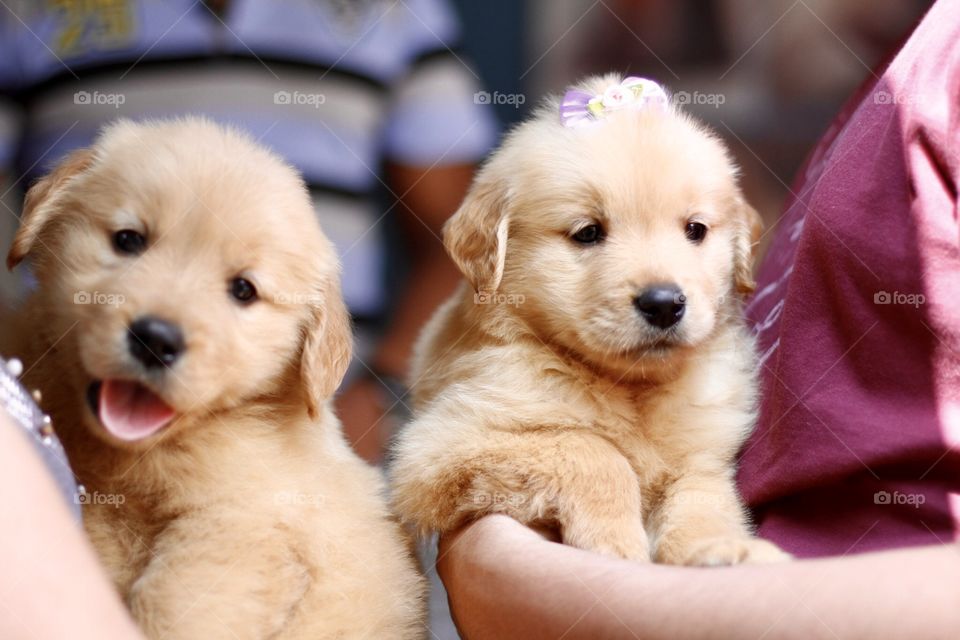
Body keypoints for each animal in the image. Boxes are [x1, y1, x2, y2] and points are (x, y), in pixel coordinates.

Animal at [390, 75, 788, 564]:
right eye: (588, 233)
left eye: (695, 230)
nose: (664, 304)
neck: (632, 390)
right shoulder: (439, 446)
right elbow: (592, 449)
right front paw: (616, 543)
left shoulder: (701, 460)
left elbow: (702, 505)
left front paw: (722, 549)